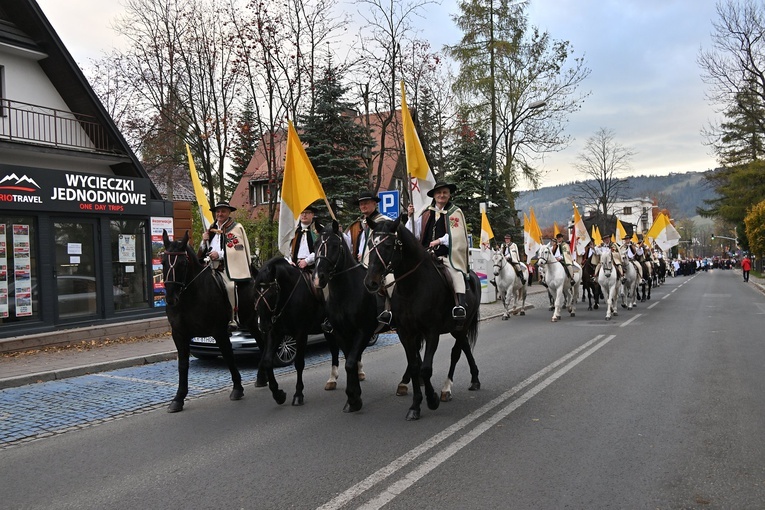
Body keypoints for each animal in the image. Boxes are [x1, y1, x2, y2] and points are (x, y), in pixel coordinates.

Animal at [161, 229, 251, 412]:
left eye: (183, 263)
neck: (190, 298)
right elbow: (183, 364)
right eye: (163, 262)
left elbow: (229, 356)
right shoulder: (179, 334)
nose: (171, 299)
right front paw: (178, 398)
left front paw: (238, 388)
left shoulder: (219, 332)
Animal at [312, 221, 378, 412]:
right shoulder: (340, 332)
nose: (318, 278)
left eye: (335, 245)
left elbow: (350, 363)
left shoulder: (363, 331)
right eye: (315, 245)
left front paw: (354, 398)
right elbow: (350, 360)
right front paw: (353, 398)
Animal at [362, 217, 478, 420]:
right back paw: (474, 379)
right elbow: (415, 366)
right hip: (456, 329)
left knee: (456, 353)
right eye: (370, 244)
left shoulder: (431, 332)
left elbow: (425, 368)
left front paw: (432, 400)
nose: (371, 282)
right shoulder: (406, 333)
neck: (412, 288)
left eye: (389, 245)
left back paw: (447, 389)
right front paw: (415, 405)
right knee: (464, 347)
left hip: (462, 325)